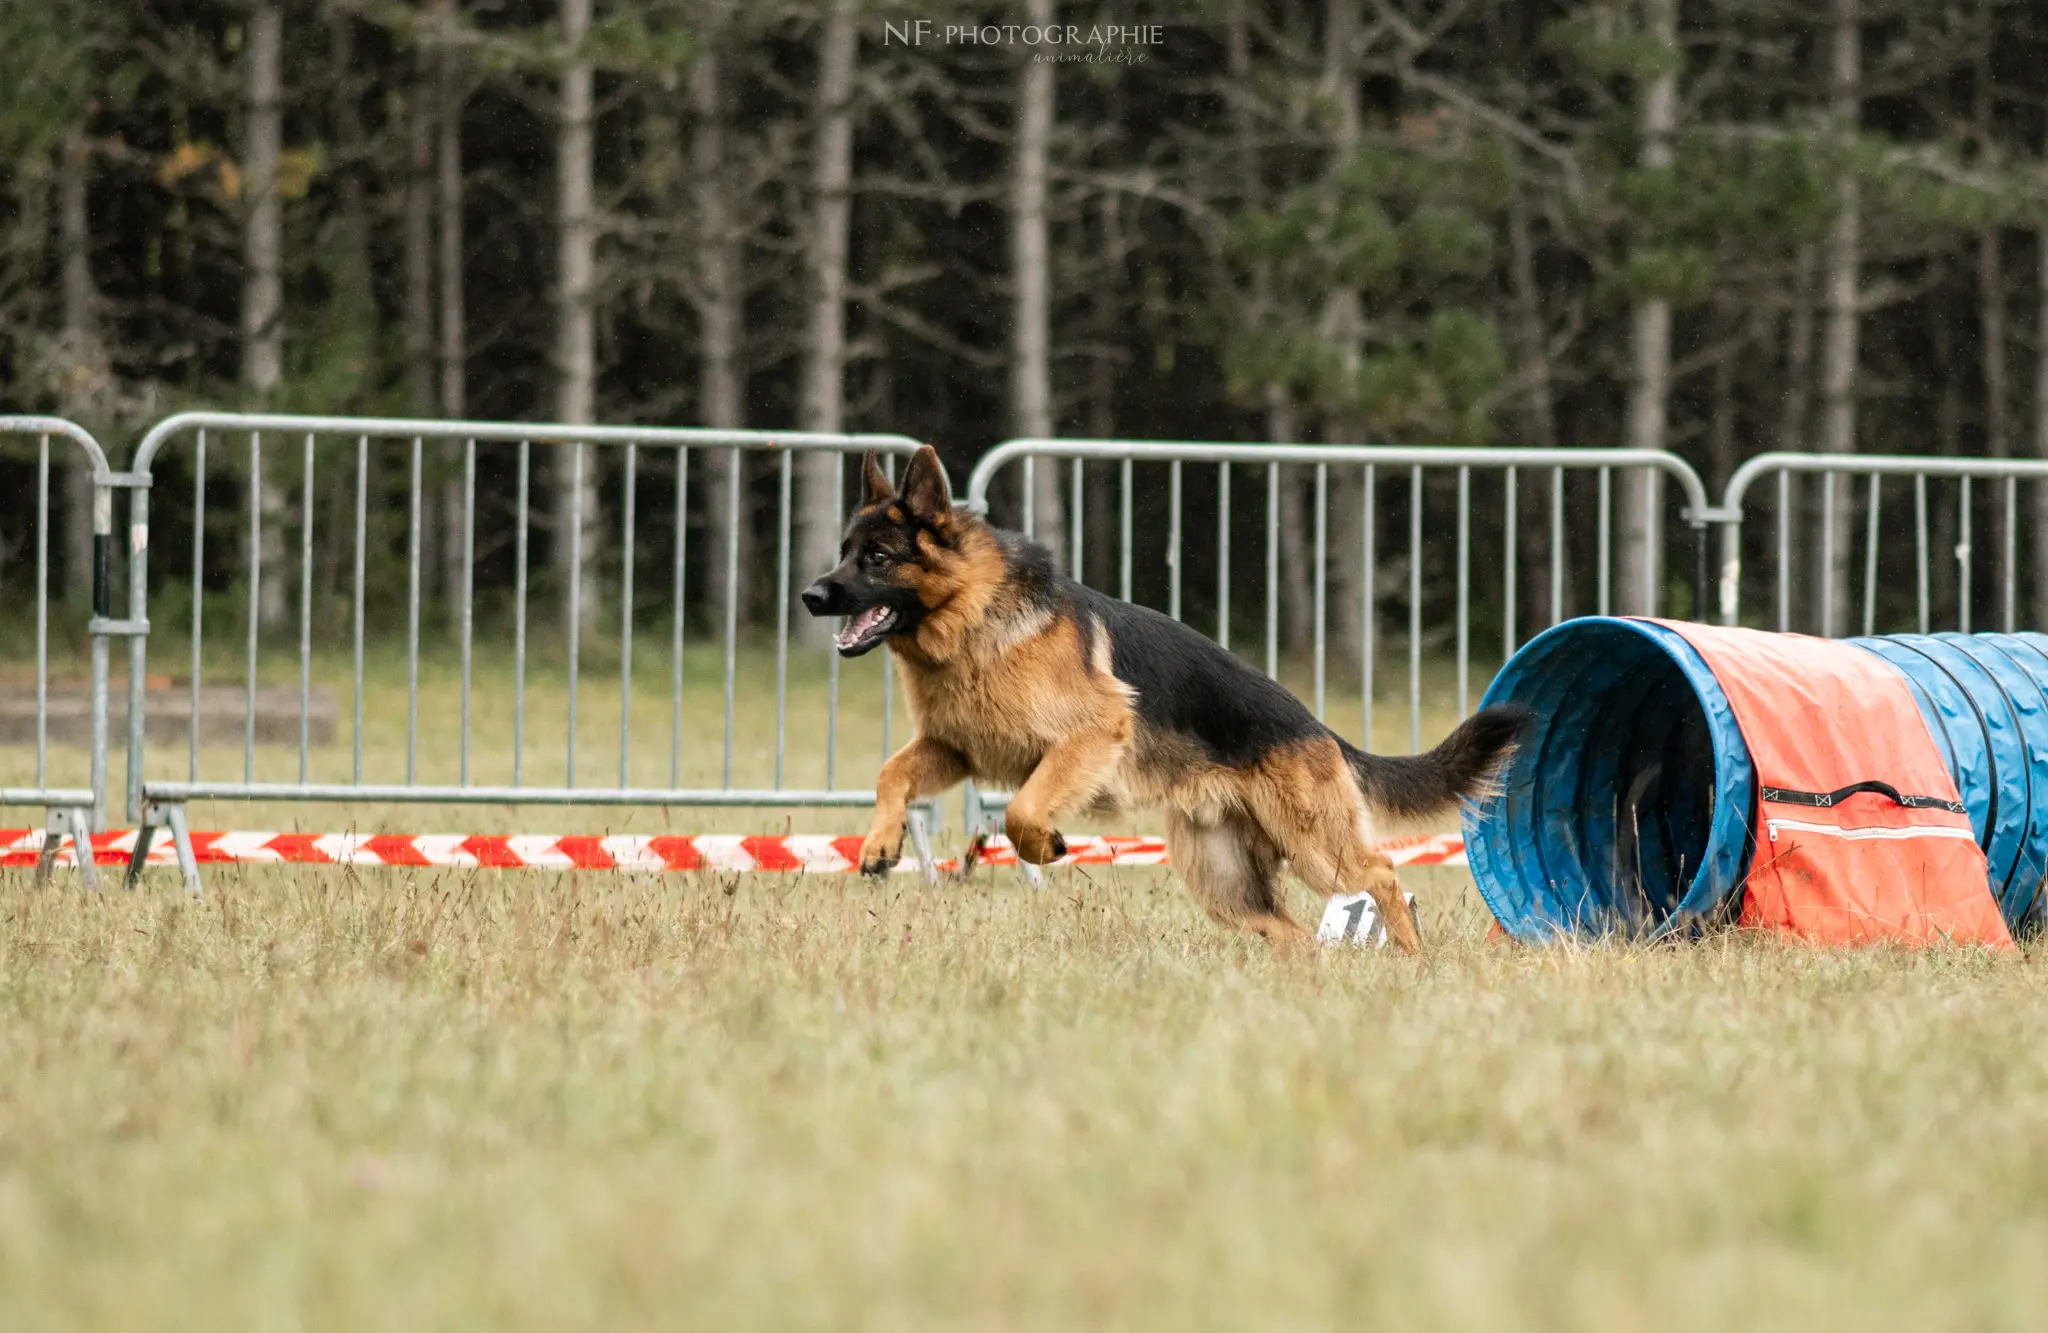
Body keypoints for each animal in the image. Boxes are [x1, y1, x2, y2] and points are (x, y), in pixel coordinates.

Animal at [794, 448, 1523, 950]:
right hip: (1226, 882)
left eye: (878, 557)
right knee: (1290, 930)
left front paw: (1047, 845)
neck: (973, 622)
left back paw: (1411, 959)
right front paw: (879, 843)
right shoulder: (954, 748)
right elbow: (891, 772)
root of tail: (1316, 726)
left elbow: (1025, 809)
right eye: (845, 551)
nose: (809, 595)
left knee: (1383, 875)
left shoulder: (1090, 733)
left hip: (1319, 848)